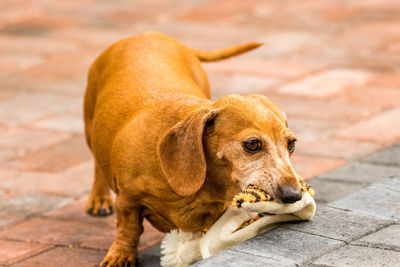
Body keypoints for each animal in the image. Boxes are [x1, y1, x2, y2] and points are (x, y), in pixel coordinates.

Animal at [85, 30, 304, 266]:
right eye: (252, 144)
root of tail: (149, 34)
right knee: (97, 164)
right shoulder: (128, 199)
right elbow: (129, 228)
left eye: (291, 144)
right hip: (89, 128)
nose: (294, 195)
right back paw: (99, 200)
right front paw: (120, 255)